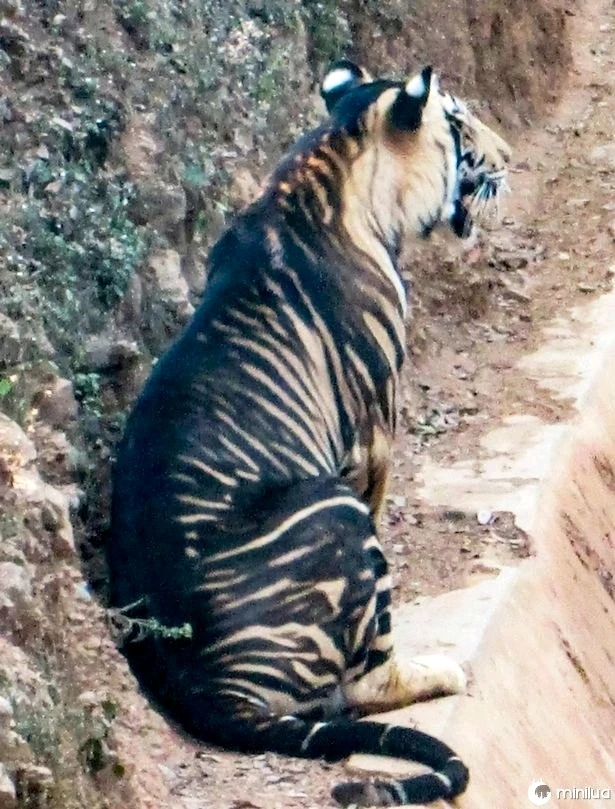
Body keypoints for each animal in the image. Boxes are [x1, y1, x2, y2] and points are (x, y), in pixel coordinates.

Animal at [108, 60, 511, 807]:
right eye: (460, 120)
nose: (508, 157)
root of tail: (206, 686)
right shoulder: (374, 435)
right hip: (333, 509)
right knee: (364, 682)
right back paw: (439, 671)